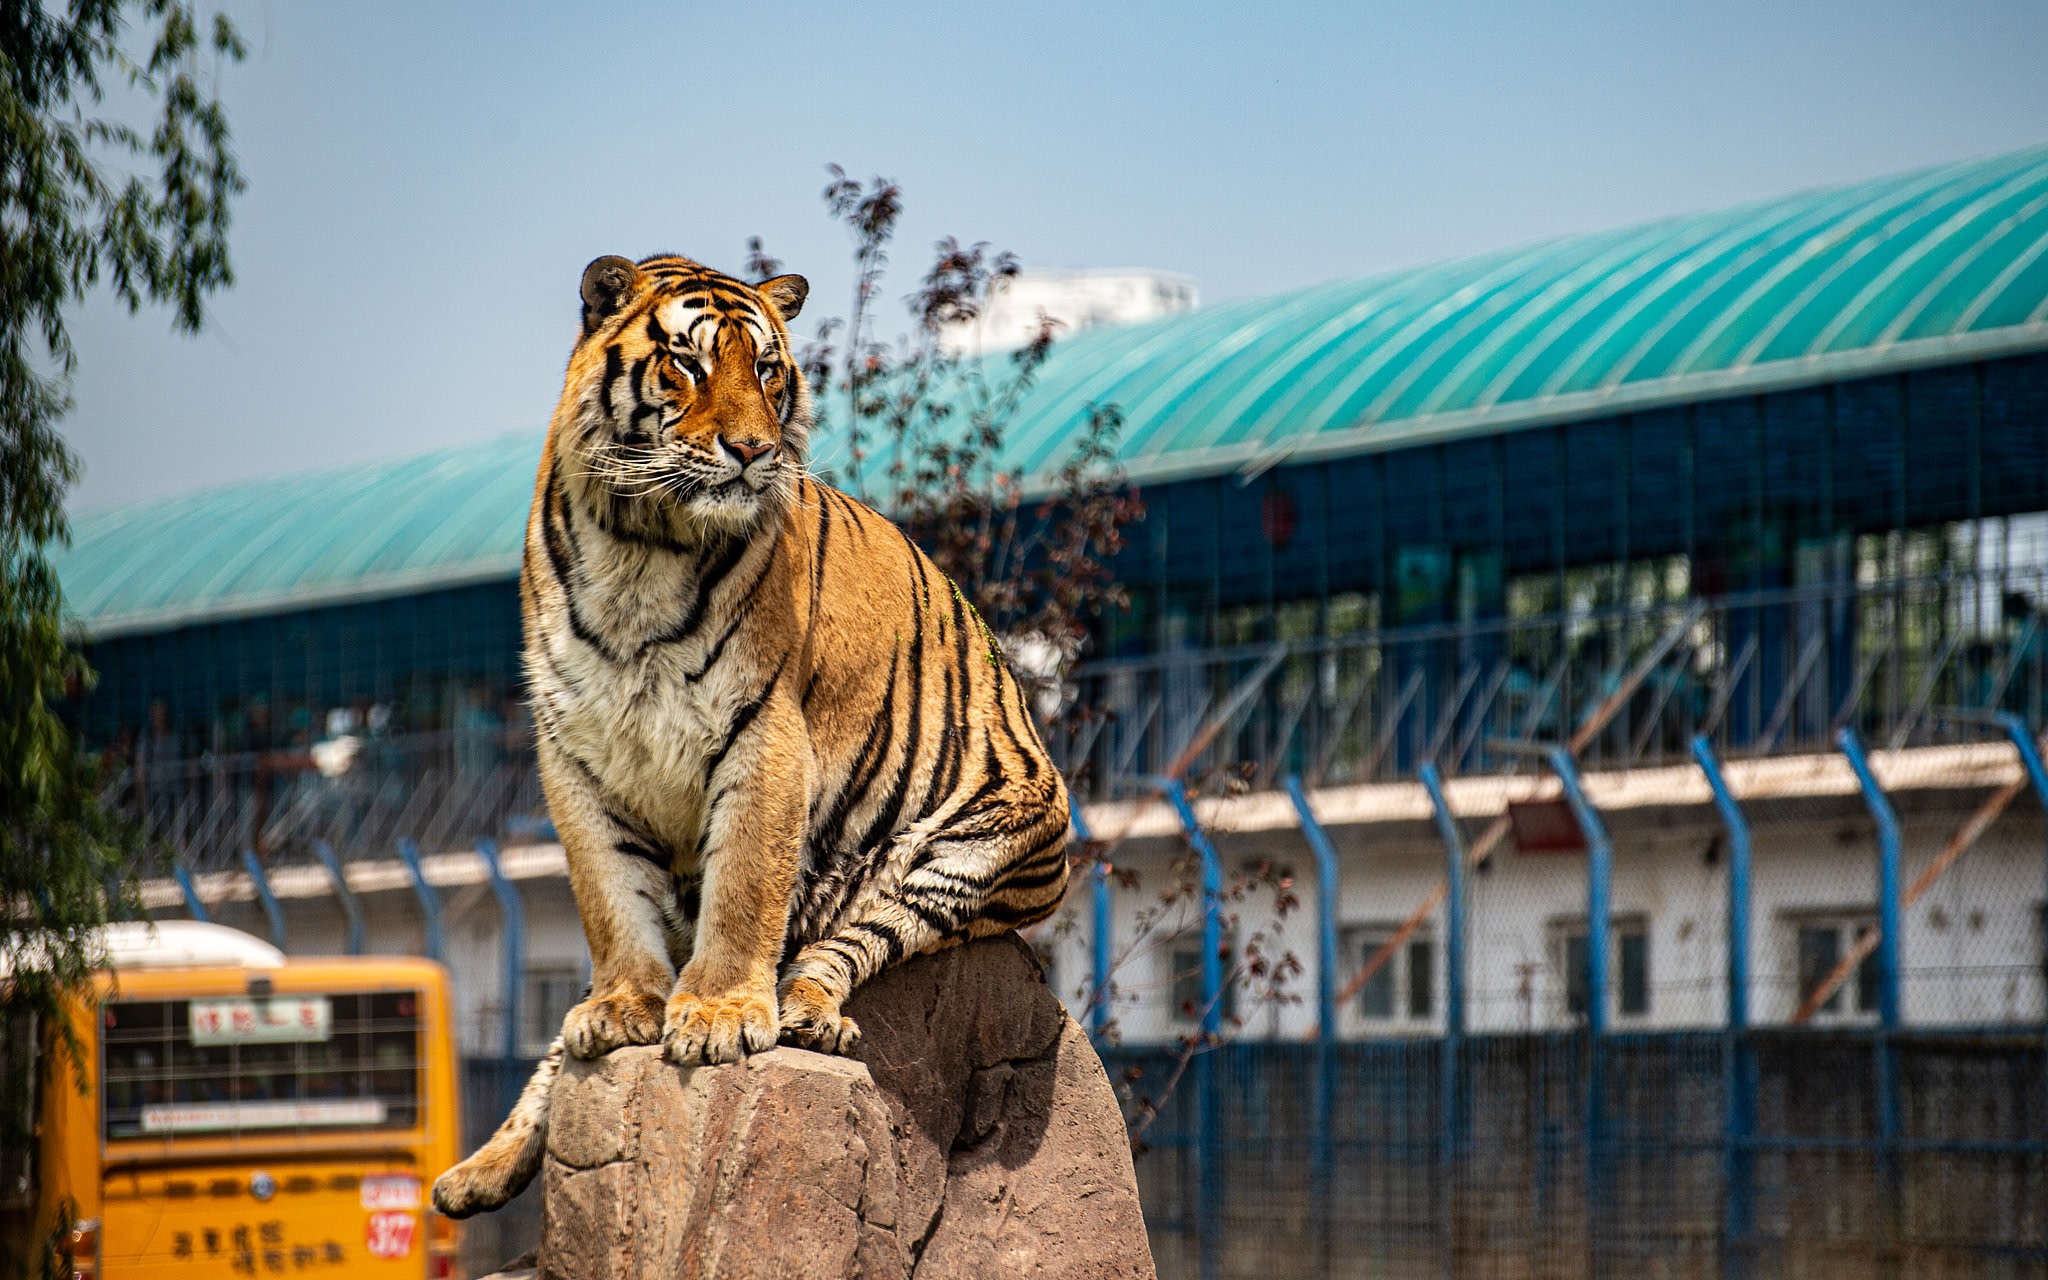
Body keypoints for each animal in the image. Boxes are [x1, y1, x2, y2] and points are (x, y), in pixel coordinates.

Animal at [431, 253, 1072, 1218]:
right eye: (688, 364)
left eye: (768, 371)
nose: (753, 450)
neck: (640, 545)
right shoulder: (574, 748)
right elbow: (608, 898)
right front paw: (623, 1007)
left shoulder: (762, 733)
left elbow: (743, 891)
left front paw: (721, 1018)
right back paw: (477, 1171)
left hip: (976, 851)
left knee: (845, 946)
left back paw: (809, 1014)